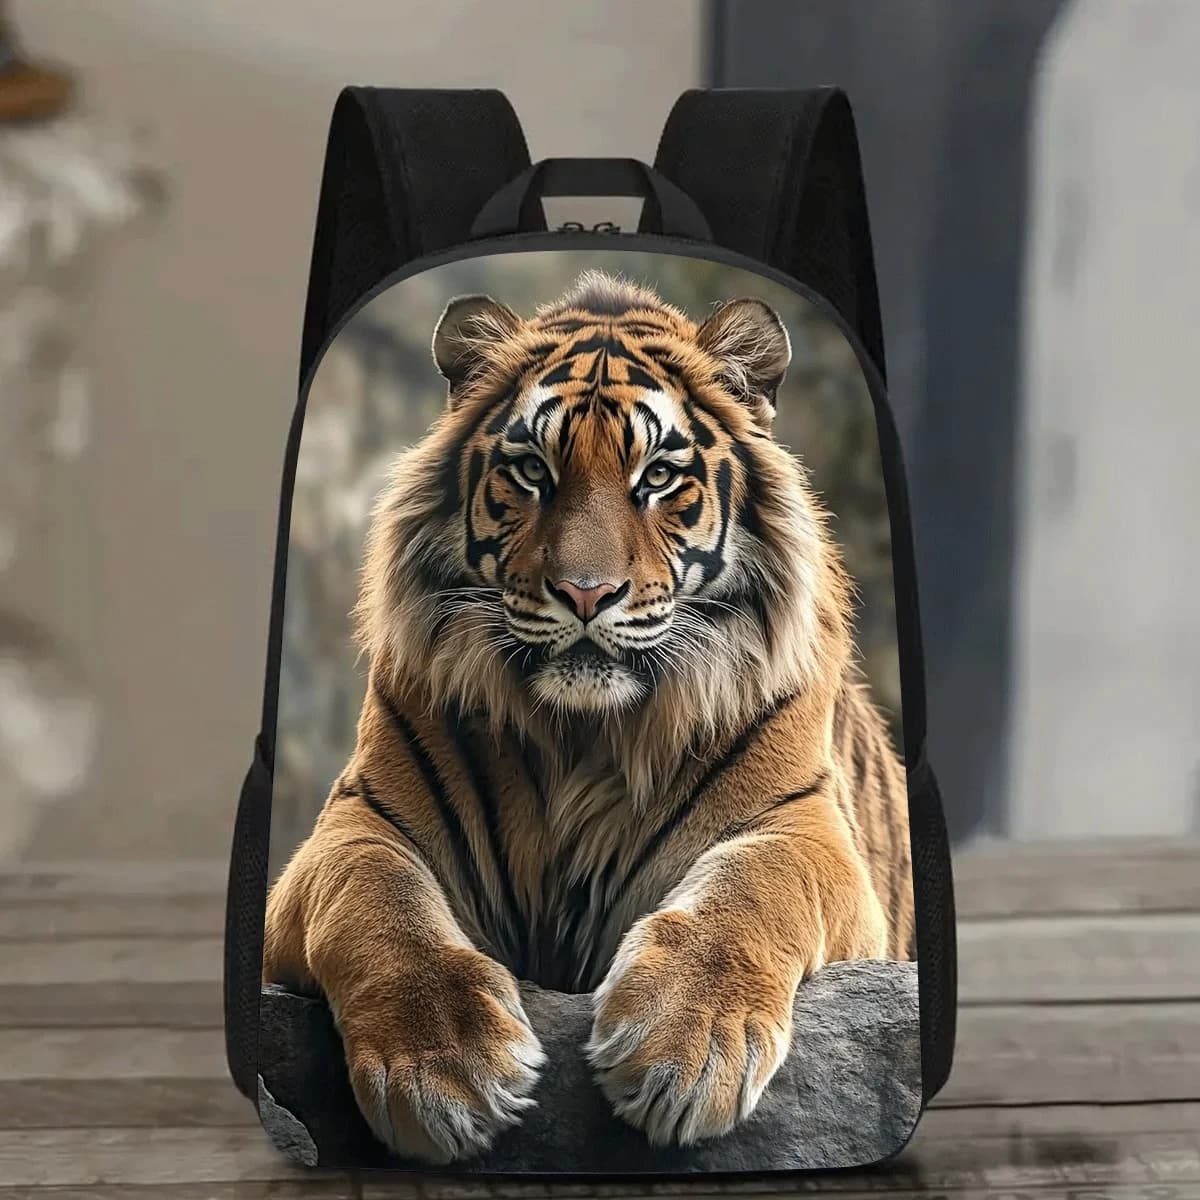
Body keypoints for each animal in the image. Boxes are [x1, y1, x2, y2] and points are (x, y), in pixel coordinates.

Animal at [263, 270, 913, 1164]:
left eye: (659, 475)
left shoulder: (807, 835)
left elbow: (750, 891)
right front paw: (446, 1067)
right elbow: (377, 903)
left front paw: (683, 1049)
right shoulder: (353, 828)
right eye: (532, 470)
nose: (584, 593)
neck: (585, 735)